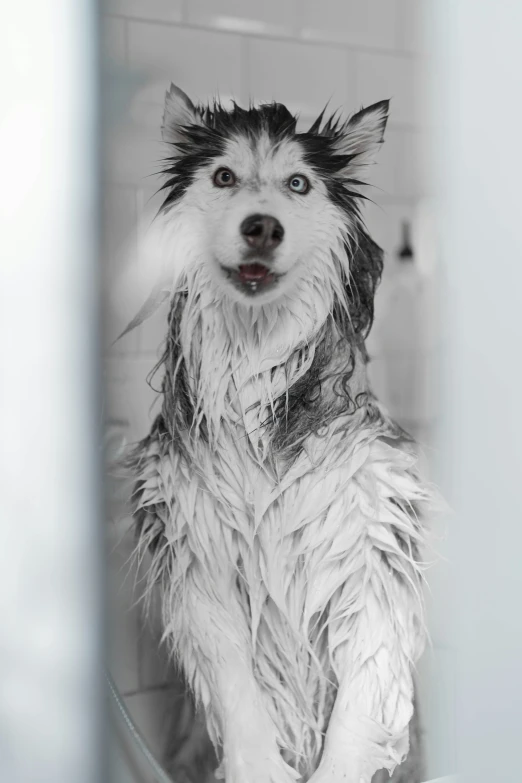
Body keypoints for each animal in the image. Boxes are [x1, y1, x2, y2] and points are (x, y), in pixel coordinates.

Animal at [127, 84, 430, 783]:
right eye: (224, 176)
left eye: (298, 183)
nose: (262, 226)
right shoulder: (200, 560)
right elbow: (239, 703)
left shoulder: (370, 558)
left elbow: (356, 717)